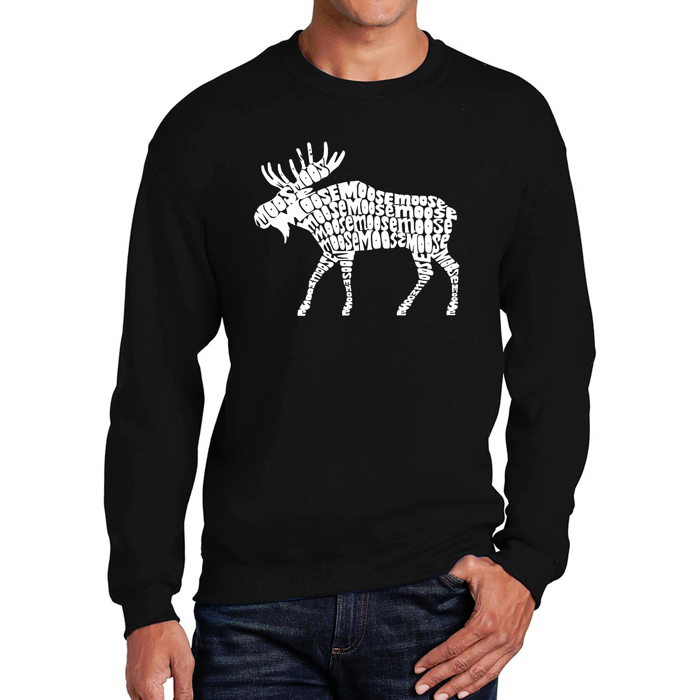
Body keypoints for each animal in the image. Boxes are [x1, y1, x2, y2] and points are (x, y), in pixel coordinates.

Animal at [253, 142, 459, 317]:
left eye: (286, 196)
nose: (258, 216)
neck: (314, 218)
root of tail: (451, 211)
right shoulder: (330, 253)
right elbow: (314, 277)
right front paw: (303, 307)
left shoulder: (345, 251)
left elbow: (345, 279)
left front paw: (347, 308)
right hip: (435, 248)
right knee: (451, 267)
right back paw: (447, 307)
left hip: (422, 248)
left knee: (428, 273)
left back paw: (407, 307)